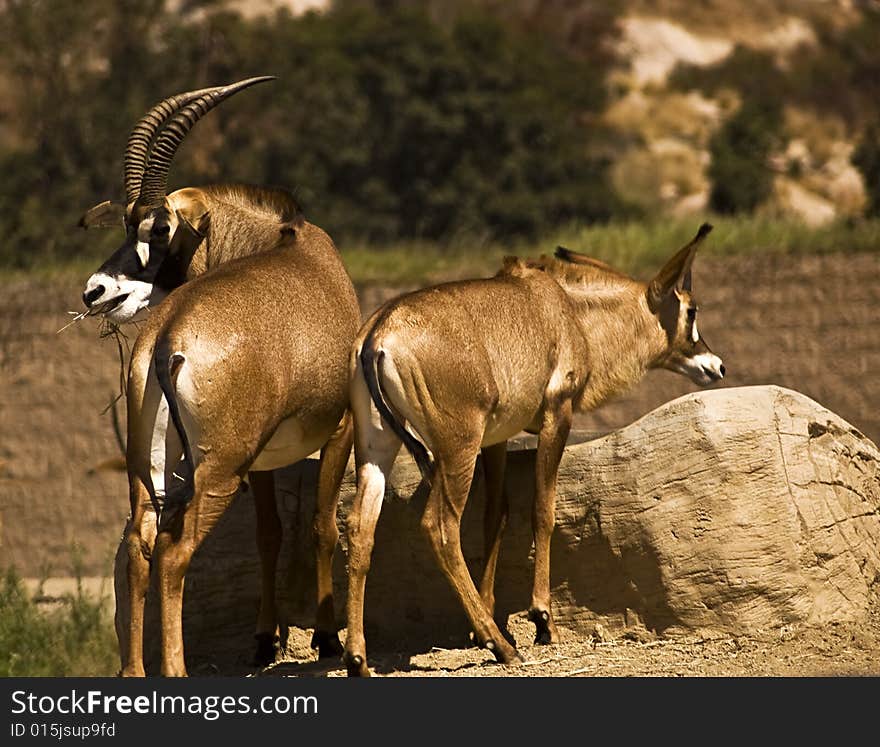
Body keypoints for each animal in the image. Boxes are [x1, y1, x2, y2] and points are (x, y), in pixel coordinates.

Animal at [81, 79, 358, 676]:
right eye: (130, 225)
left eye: (159, 226)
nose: (96, 291)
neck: (287, 241)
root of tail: (167, 337)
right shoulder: (341, 426)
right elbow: (322, 526)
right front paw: (325, 637)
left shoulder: (264, 459)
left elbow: (269, 534)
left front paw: (264, 640)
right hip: (218, 470)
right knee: (174, 551)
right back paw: (176, 668)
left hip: (152, 471)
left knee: (138, 546)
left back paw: (135, 670)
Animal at [342, 222, 720, 676]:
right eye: (691, 310)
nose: (716, 366)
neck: (569, 310)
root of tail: (378, 336)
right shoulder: (558, 413)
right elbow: (543, 508)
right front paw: (543, 620)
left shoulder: (497, 438)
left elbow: (496, 515)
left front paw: (484, 617)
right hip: (457, 449)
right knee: (441, 527)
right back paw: (502, 646)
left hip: (376, 449)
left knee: (360, 527)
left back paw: (359, 658)